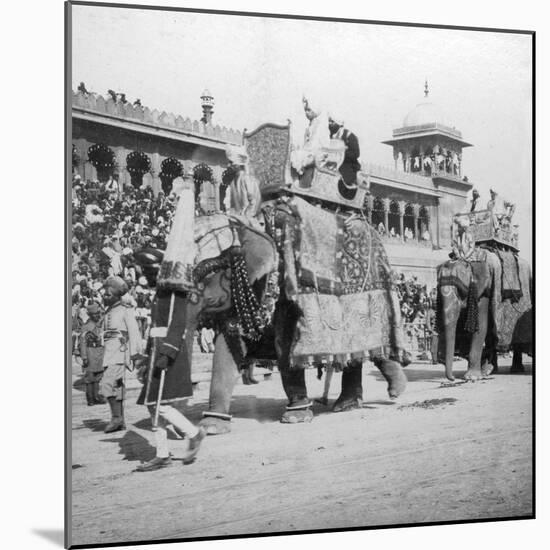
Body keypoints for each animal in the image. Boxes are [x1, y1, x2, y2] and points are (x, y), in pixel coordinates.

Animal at [141, 197, 410, 436]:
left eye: (201, 282)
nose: (159, 425)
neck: (247, 223)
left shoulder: (285, 289)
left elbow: (285, 347)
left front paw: (296, 416)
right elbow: (227, 350)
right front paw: (212, 426)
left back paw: (393, 390)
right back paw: (348, 404)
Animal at [438, 247, 532, 382]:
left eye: (459, 291)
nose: (454, 378)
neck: (470, 260)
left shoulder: (484, 290)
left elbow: (481, 326)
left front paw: (472, 377)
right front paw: (478, 374)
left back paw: (515, 370)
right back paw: (490, 370)